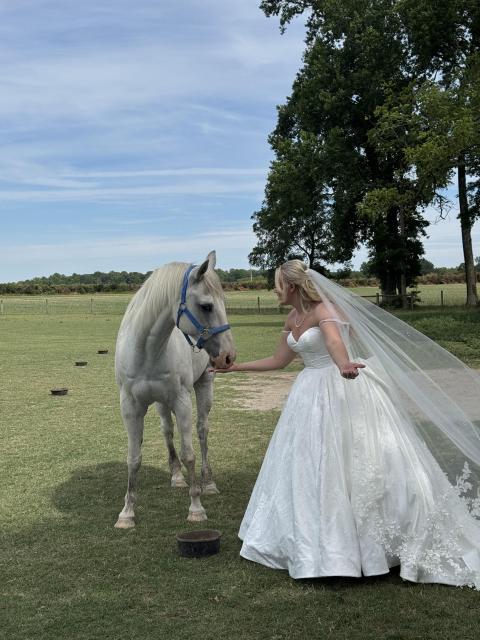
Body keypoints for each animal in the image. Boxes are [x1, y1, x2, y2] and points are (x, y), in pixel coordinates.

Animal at [114, 251, 236, 528]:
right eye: (207, 306)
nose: (228, 356)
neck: (147, 352)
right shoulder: (130, 407)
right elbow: (133, 458)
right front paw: (126, 512)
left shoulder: (182, 401)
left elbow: (189, 453)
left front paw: (196, 507)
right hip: (160, 402)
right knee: (167, 431)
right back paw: (177, 476)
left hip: (204, 387)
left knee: (202, 431)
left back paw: (208, 482)